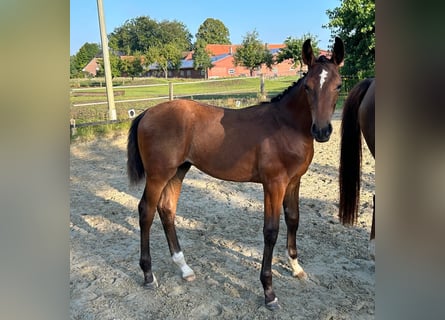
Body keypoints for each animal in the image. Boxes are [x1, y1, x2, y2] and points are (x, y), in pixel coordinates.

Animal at [126, 37, 346, 310]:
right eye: (308, 86)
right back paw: (148, 274)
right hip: (158, 174)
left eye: (339, 85)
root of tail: (147, 113)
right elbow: (271, 231)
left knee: (166, 210)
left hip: (178, 171)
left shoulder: (294, 181)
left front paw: (296, 267)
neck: (286, 125)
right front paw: (269, 292)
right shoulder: (274, 184)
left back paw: (185, 268)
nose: (322, 131)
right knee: (146, 212)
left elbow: (293, 219)